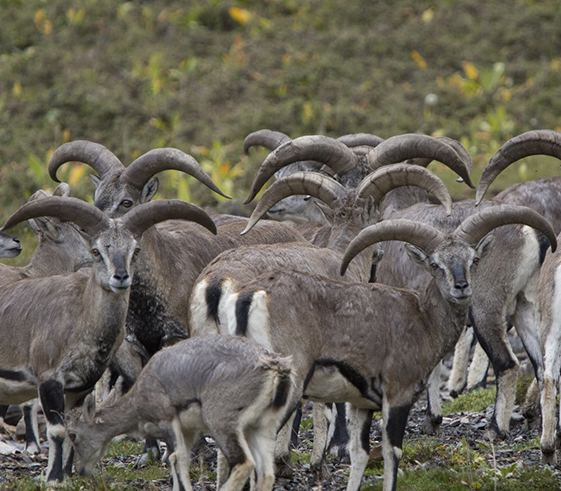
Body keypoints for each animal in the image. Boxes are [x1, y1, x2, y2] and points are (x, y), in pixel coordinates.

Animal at [0, 197, 217, 484]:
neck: (80, 317)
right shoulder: (48, 378)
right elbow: (57, 430)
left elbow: (71, 427)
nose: (121, 277)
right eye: (96, 251)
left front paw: (66, 476)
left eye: (135, 250)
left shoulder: (80, 386)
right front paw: (54, 478)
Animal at [66, 336, 294, 491]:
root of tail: (276, 368)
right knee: (266, 474)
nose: (80, 470)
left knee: (244, 462)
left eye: (72, 435)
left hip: (222, 422)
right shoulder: (189, 431)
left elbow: (177, 458)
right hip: (262, 427)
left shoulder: (167, 421)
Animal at [224, 206, 556, 490]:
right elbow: (392, 451)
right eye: (435, 264)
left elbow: (360, 454)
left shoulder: (362, 403)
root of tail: (251, 296)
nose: (461, 287)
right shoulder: (398, 393)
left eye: (473, 259)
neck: (422, 319)